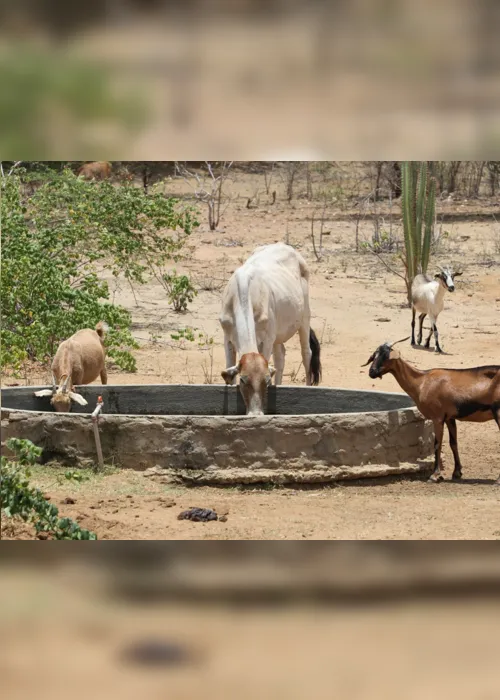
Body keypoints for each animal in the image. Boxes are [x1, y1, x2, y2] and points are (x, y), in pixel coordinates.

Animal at [220, 242, 322, 412]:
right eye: (243, 380)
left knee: (306, 353)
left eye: (266, 381)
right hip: (278, 335)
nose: (256, 413)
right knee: (280, 357)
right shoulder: (227, 337)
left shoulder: (266, 340)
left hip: (304, 318)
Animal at [364, 338, 500, 482]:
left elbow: (437, 444)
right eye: (374, 355)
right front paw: (457, 472)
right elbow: (453, 443)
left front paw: (435, 475)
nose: (372, 372)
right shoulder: (449, 417)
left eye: (386, 356)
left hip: (498, 412)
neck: (422, 381)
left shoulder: (437, 417)